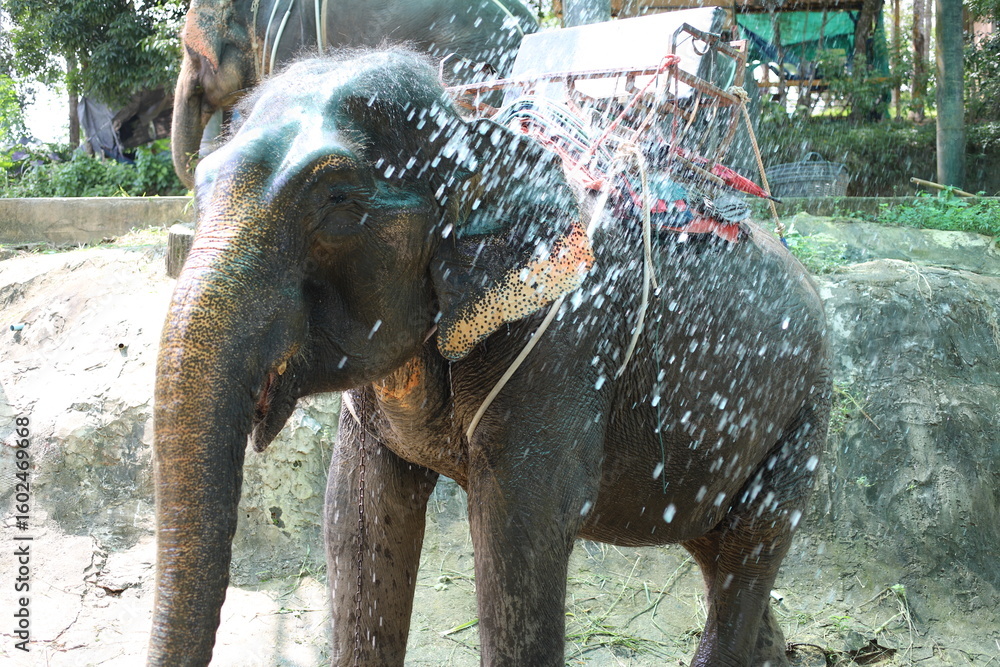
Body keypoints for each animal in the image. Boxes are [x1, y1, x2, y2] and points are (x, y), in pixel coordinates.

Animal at [150, 49, 832, 666]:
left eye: (338, 201)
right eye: (200, 186)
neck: (474, 131)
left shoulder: (561, 350)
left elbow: (517, 539)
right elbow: (356, 515)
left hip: (806, 416)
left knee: (749, 548)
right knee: (716, 550)